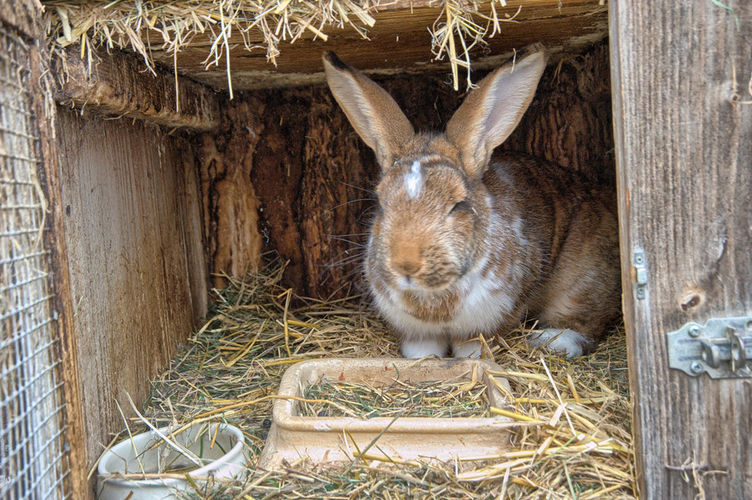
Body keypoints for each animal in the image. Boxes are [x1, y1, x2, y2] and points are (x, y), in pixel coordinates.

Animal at [322, 44, 621, 359]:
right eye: (381, 204)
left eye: (457, 206)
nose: (406, 263)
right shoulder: (416, 332)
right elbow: (422, 350)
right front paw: (426, 360)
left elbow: (474, 348)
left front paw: (471, 360)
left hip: (584, 279)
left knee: (585, 322)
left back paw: (550, 341)